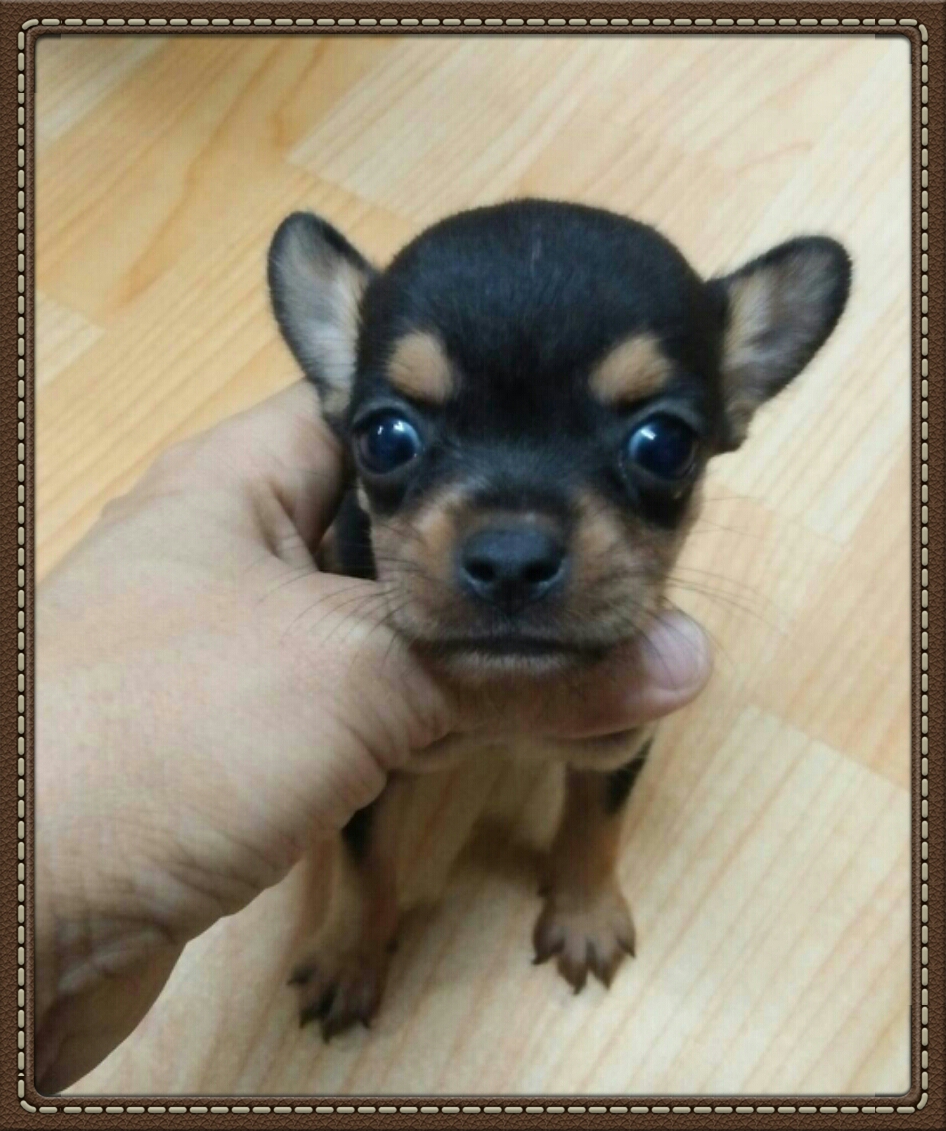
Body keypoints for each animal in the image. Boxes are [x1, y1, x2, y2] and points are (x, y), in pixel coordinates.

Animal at [267, 199, 851, 1038]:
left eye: (665, 444)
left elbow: (595, 823)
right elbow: (365, 854)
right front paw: (350, 950)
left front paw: (584, 913)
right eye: (384, 436)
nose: (511, 557)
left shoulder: (622, 738)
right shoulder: (369, 773)